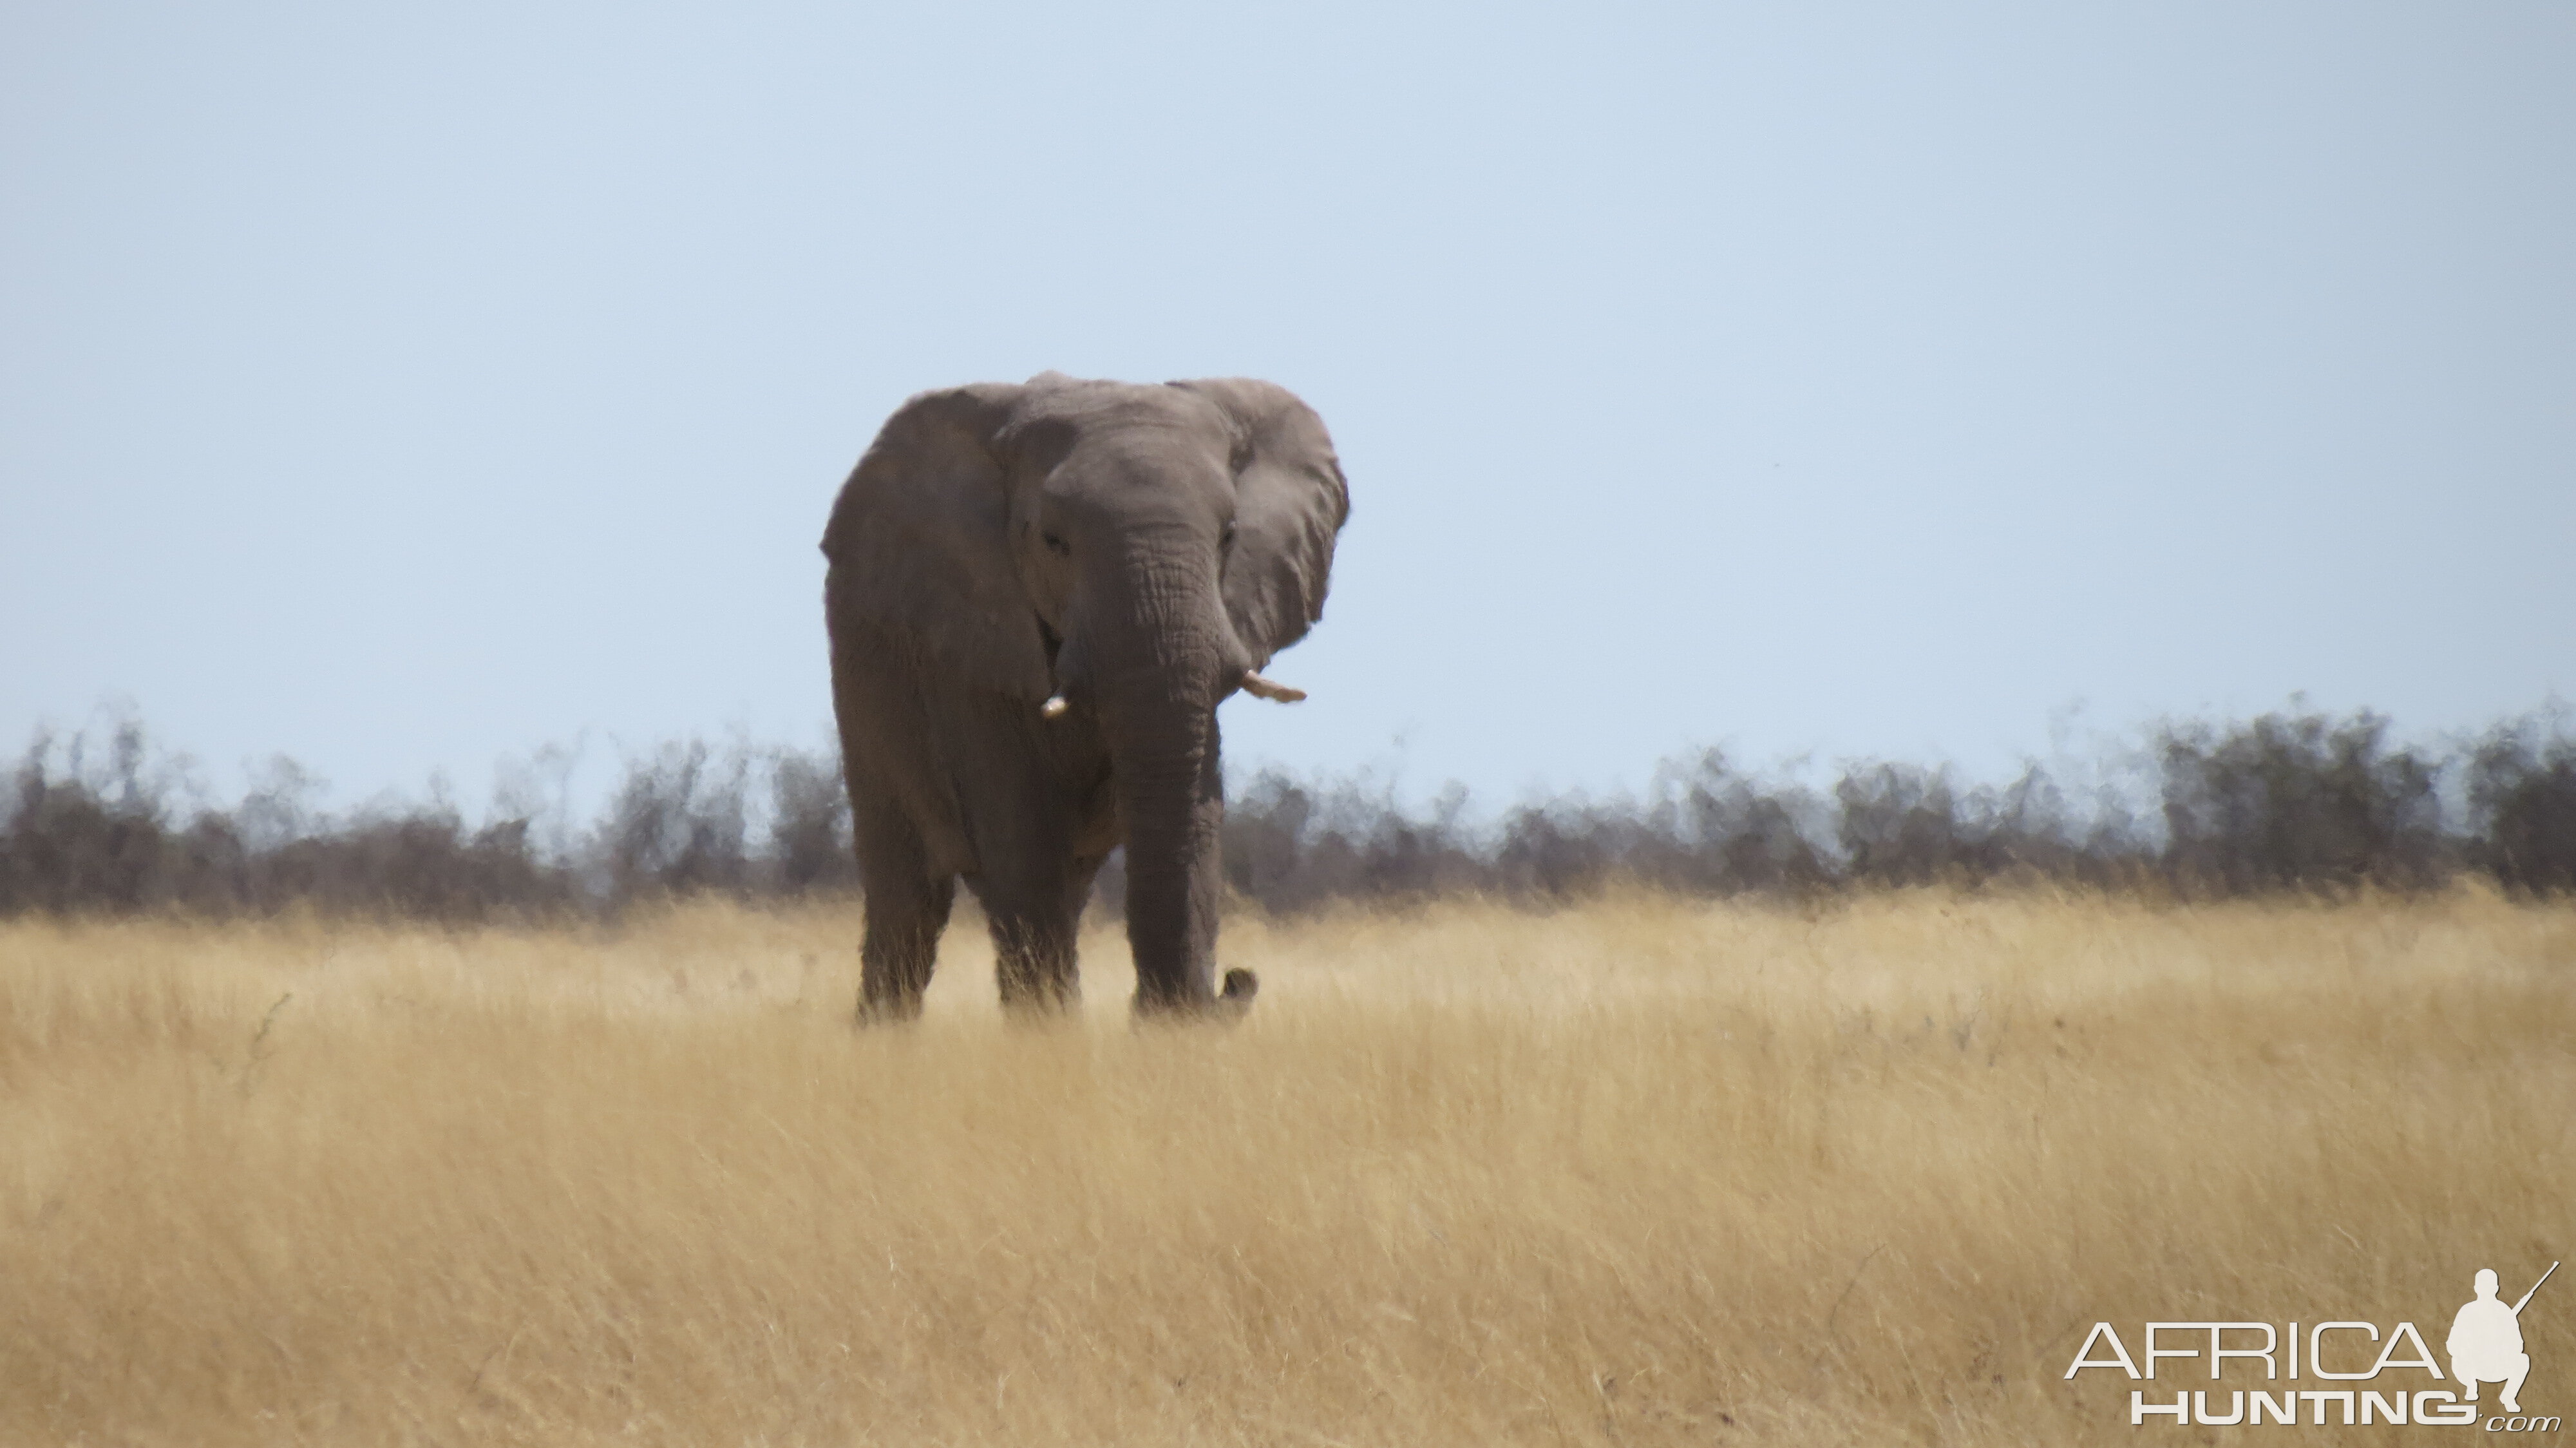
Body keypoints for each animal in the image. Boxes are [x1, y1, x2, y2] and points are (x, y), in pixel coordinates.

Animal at [819, 371, 1350, 1015]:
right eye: (1054, 542)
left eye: (1229, 537)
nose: (1238, 979)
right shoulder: (970, 651)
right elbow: (1021, 837)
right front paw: (1053, 1035)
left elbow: (1198, 815)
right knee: (909, 896)